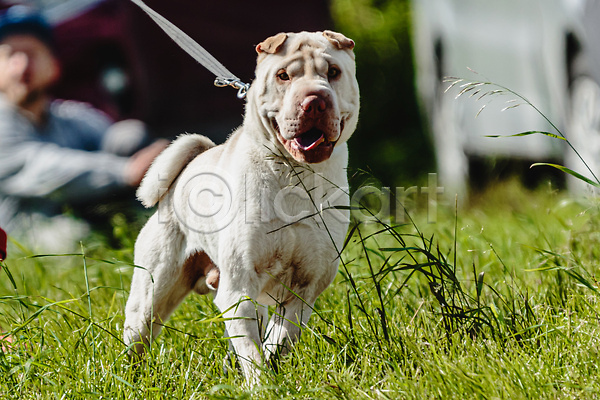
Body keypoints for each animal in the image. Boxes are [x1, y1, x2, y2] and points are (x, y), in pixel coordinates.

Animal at [122, 30, 356, 382]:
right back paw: (128, 378)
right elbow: (252, 353)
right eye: (284, 75)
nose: (315, 100)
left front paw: (274, 367)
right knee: (138, 337)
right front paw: (263, 385)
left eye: (333, 72)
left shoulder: (305, 288)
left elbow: (281, 338)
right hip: (153, 291)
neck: (294, 175)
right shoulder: (239, 288)